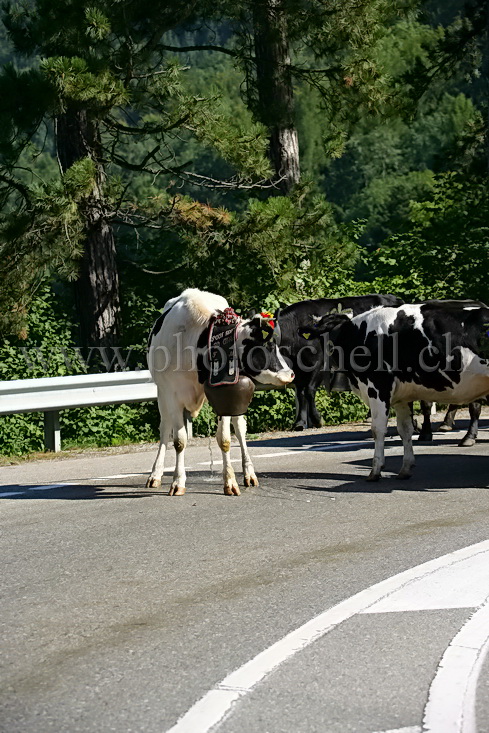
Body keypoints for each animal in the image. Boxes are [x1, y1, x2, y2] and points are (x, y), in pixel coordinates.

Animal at [146, 288, 294, 494]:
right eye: (268, 346)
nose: (291, 374)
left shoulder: (225, 394)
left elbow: (224, 439)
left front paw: (230, 482)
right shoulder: (172, 394)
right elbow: (179, 441)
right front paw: (177, 482)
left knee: (240, 429)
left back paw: (249, 474)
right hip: (162, 395)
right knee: (165, 429)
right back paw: (155, 474)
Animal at [274, 292, 404, 428]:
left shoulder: (319, 364)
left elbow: (309, 390)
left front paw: (316, 419)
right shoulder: (299, 370)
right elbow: (300, 394)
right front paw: (299, 423)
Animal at [298, 300, 488, 484]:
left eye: (329, 330)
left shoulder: (377, 387)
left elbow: (378, 429)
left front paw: (375, 470)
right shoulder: (401, 397)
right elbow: (405, 429)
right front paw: (405, 468)